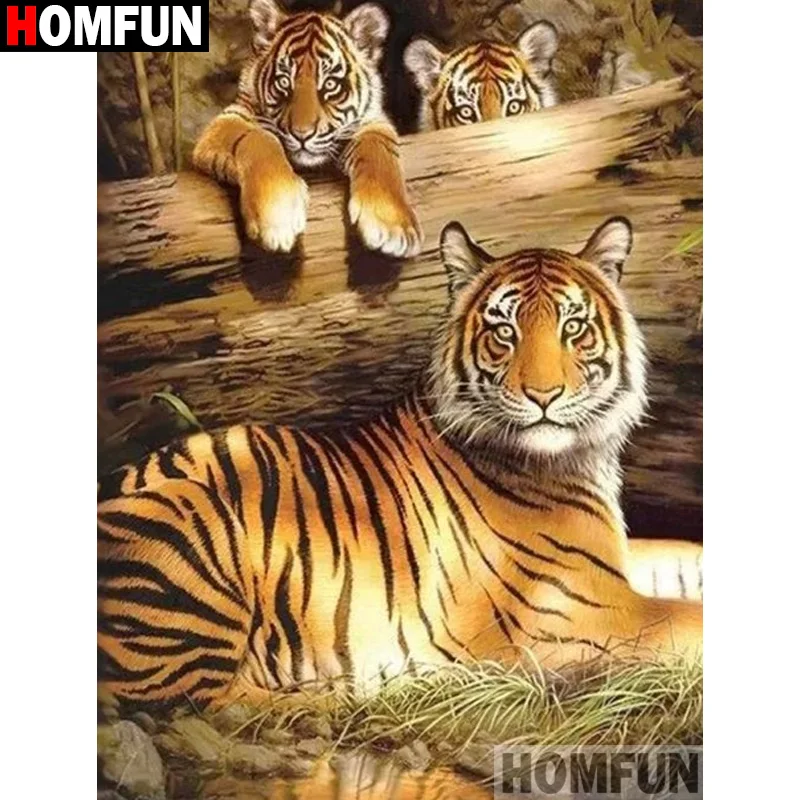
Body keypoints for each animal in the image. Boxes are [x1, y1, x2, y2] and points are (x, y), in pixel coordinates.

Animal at [97, 217, 702, 709]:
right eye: (504, 332)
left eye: (572, 327)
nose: (543, 396)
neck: (576, 458)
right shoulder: (576, 615)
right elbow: (690, 622)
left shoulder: (611, 564)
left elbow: (683, 555)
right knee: (208, 703)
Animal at [192, 0, 421, 257]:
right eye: (284, 82)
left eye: (330, 84)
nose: (302, 134)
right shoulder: (230, 119)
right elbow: (259, 138)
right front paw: (278, 215)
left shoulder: (373, 123)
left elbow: (379, 153)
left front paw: (393, 227)